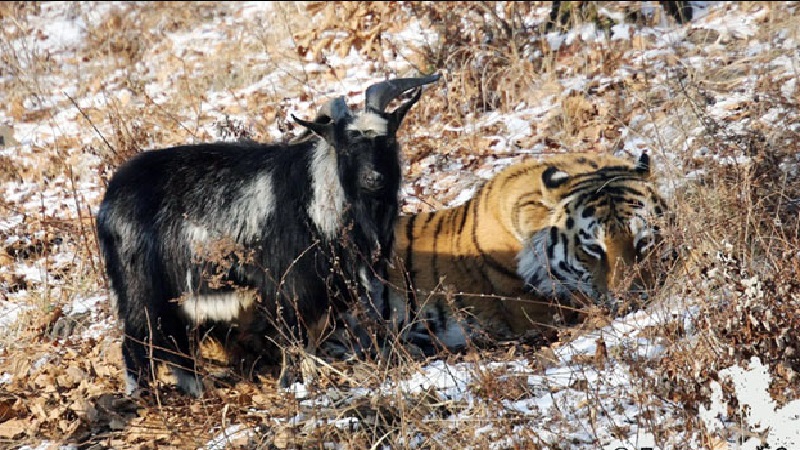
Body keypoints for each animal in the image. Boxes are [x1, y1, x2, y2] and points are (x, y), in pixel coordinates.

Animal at [98, 74, 444, 398]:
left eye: (387, 141)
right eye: (346, 147)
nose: (374, 178)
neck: (316, 195)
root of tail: (109, 201)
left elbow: (310, 343)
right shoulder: (288, 287)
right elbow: (294, 342)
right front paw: (291, 386)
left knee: (175, 346)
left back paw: (198, 391)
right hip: (141, 290)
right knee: (137, 345)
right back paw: (144, 397)